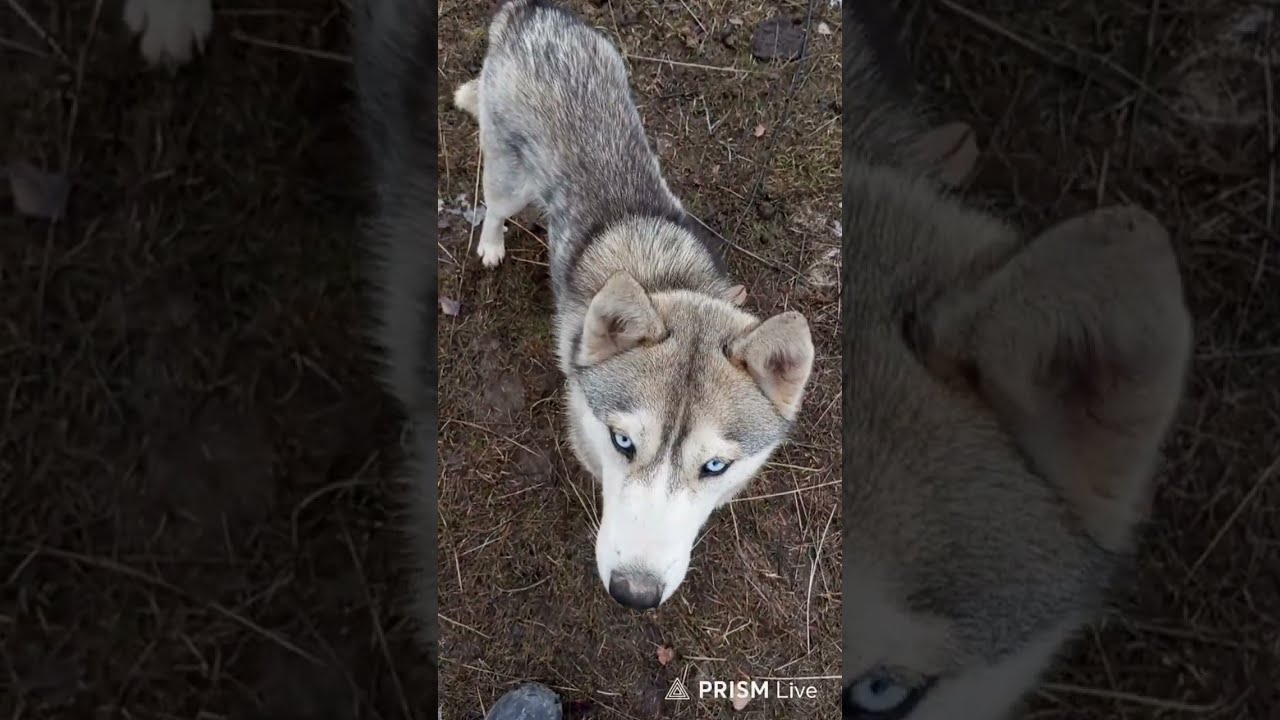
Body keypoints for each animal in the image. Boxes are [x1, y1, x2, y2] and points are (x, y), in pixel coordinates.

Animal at [451, 0, 816, 611]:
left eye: (714, 465)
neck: (663, 276)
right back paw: (494, 244)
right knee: (494, 205)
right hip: (507, 179)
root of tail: (532, 13)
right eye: (624, 441)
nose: (634, 594)